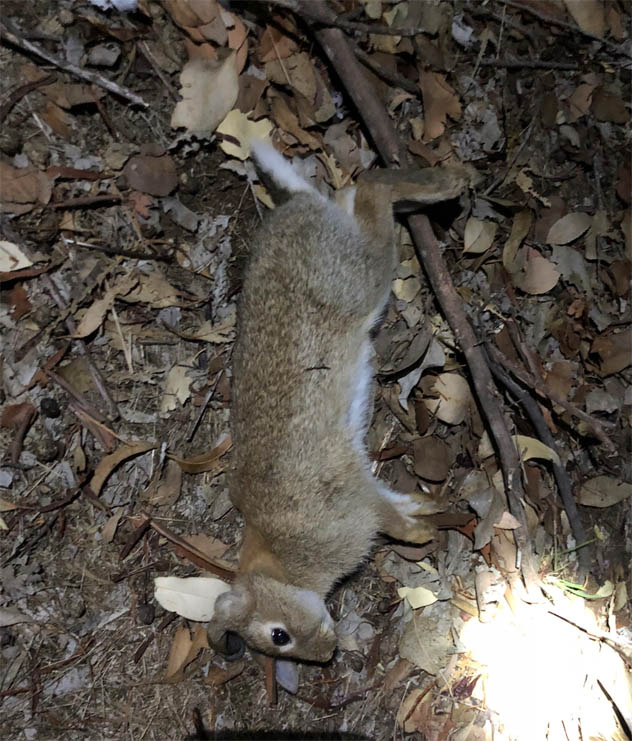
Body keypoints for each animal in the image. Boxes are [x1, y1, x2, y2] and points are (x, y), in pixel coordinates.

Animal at [208, 140, 442, 663]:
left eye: (278, 635)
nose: (325, 654)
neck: (280, 566)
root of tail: (291, 209)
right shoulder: (359, 484)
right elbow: (392, 501)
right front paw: (424, 509)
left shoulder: (351, 505)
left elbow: (387, 520)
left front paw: (421, 534)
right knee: (351, 194)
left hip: (359, 275)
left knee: (373, 189)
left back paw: (451, 181)